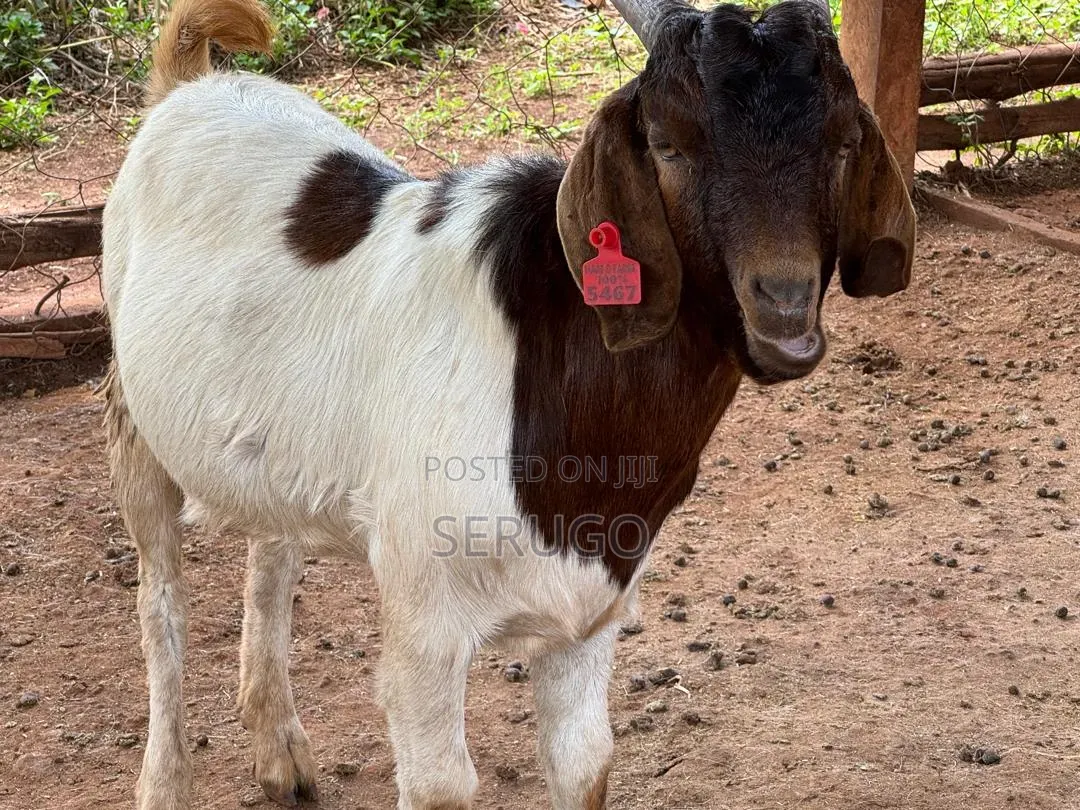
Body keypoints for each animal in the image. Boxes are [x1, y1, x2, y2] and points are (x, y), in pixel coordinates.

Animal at [101, 0, 916, 807]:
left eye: (845, 141)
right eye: (667, 144)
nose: (783, 306)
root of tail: (189, 85)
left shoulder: (590, 616)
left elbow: (585, 763)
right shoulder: (423, 621)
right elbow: (441, 783)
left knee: (271, 550)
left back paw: (280, 753)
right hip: (130, 412)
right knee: (160, 600)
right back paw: (164, 781)